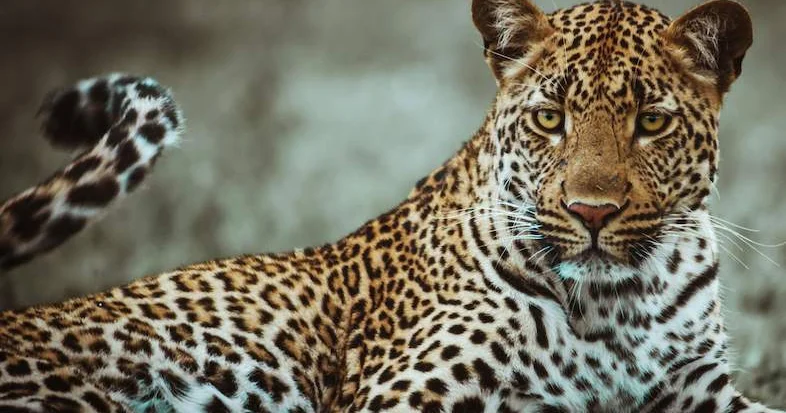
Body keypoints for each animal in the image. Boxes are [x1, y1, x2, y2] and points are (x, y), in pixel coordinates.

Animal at [0, 0, 782, 412]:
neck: (622, 303)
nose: (591, 212)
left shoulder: (699, 392)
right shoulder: (405, 395)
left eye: (651, 122)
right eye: (550, 118)